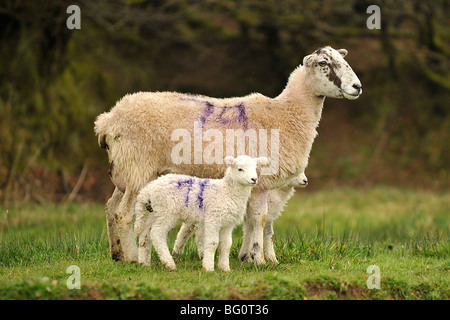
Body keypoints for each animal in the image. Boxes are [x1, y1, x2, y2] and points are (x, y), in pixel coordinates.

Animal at [134, 156, 268, 272]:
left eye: (255, 168)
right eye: (240, 169)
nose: (254, 179)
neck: (226, 191)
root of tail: (147, 190)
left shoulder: (227, 224)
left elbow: (226, 245)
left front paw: (225, 268)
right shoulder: (213, 219)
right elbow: (213, 243)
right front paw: (208, 267)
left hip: (155, 212)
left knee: (145, 233)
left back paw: (144, 262)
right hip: (167, 211)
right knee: (157, 233)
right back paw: (169, 264)